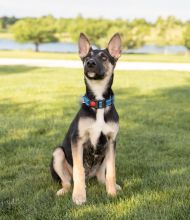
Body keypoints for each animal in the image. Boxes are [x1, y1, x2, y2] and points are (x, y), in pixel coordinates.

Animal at [50, 32, 121, 205]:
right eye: (87, 57)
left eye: (104, 57)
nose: (90, 63)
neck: (99, 102)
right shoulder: (78, 140)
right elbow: (79, 171)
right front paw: (79, 196)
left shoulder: (111, 141)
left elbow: (111, 172)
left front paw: (112, 194)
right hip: (58, 154)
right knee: (67, 181)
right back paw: (64, 191)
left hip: (104, 156)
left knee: (102, 176)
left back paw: (113, 186)